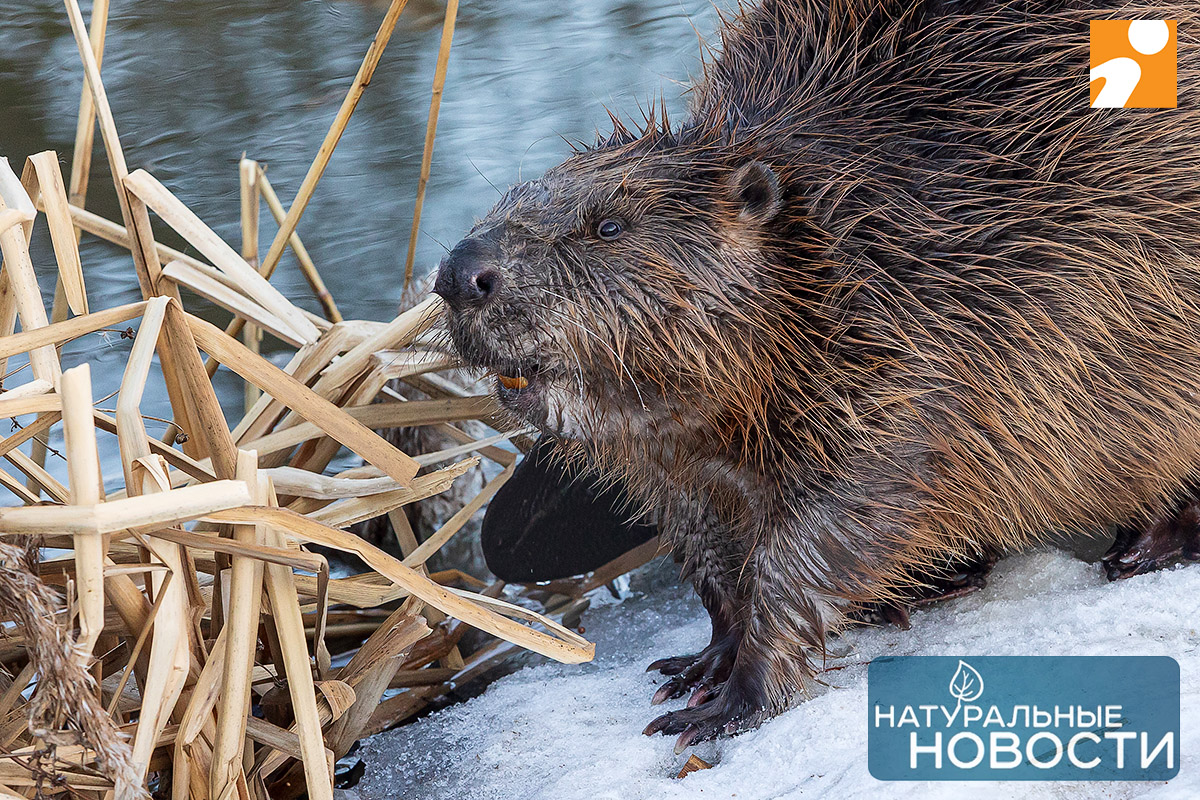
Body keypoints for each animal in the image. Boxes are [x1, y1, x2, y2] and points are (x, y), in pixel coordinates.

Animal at [436, 0, 1200, 753]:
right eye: (507, 202)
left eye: (609, 227)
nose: (459, 274)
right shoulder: (682, 463)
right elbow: (708, 552)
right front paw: (697, 666)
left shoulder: (908, 374)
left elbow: (834, 534)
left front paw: (725, 703)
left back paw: (1138, 549)